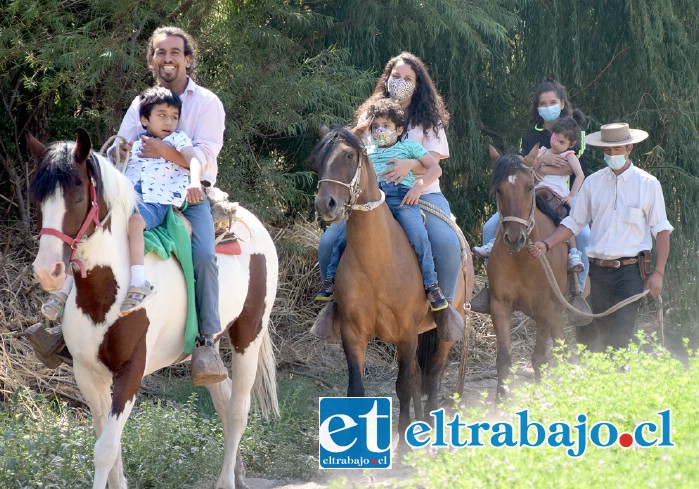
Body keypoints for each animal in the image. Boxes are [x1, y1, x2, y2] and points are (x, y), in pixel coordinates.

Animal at [28, 130, 278, 488]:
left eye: (77, 197)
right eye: (38, 200)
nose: (48, 270)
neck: (107, 293)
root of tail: (253, 224)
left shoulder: (130, 373)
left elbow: (105, 450)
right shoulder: (86, 374)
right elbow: (109, 447)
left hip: (249, 335)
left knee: (237, 410)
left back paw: (227, 480)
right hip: (210, 347)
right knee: (223, 397)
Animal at [310, 125, 470, 450]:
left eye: (349, 156)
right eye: (318, 158)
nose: (325, 204)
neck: (378, 260)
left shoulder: (406, 332)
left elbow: (403, 386)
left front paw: (404, 446)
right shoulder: (352, 332)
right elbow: (357, 389)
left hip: (445, 331)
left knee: (432, 376)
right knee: (420, 375)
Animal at [486, 148, 568, 396]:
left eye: (529, 187)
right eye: (499, 189)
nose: (515, 238)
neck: (523, 259)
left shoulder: (546, 309)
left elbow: (539, 358)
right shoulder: (499, 306)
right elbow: (504, 359)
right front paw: (501, 399)